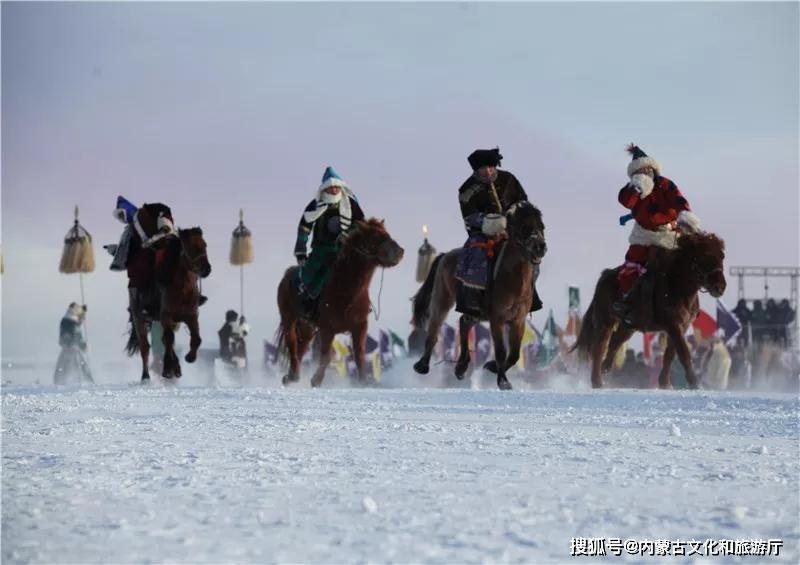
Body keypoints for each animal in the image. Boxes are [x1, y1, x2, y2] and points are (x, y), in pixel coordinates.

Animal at [125, 225, 212, 381]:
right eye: (189, 247)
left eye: (204, 245)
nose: (207, 269)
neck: (182, 289)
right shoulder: (166, 317)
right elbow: (169, 339)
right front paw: (167, 370)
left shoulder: (191, 316)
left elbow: (196, 338)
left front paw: (190, 357)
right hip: (139, 319)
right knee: (146, 347)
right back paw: (146, 376)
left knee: (164, 341)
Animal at [276, 218, 404, 387]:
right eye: (375, 236)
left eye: (386, 233)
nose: (399, 252)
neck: (346, 290)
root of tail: (286, 276)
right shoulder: (327, 329)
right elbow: (326, 356)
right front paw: (316, 380)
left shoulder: (359, 327)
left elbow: (359, 355)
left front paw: (363, 382)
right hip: (289, 318)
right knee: (292, 343)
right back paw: (293, 376)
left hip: (307, 326)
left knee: (301, 346)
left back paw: (292, 375)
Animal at [411, 201, 547, 390]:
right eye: (524, 226)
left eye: (541, 226)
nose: (540, 247)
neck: (513, 281)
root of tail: (445, 255)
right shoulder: (497, 319)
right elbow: (501, 351)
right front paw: (503, 382)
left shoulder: (518, 320)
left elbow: (514, 355)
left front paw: (492, 367)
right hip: (442, 298)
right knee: (434, 329)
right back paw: (422, 365)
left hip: (475, 312)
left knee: (464, 323)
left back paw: (461, 367)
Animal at [572, 231, 726, 389]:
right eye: (705, 255)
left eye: (721, 256)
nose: (720, 287)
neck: (677, 285)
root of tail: (605, 275)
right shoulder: (673, 325)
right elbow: (683, 352)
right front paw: (694, 382)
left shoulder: (682, 326)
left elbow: (670, 354)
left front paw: (665, 383)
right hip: (605, 320)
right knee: (600, 347)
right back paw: (597, 380)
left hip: (628, 326)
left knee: (614, 344)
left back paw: (604, 370)